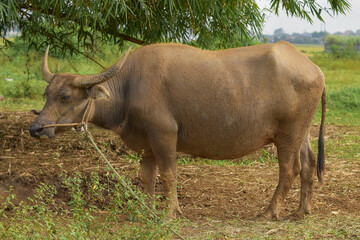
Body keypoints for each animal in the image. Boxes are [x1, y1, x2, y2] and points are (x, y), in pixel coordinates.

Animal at [29, 41, 324, 219]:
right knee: (308, 163)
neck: (129, 87)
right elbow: (147, 177)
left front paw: (171, 213)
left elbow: (169, 175)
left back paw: (269, 212)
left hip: (288, 135)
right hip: (302, 132)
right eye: (47, 93)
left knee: (289, 169)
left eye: (65, 96)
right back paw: (302, 211)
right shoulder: (146, 144)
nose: (36, 128)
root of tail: (315, 69)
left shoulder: (164, 136)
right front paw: (146, 210)